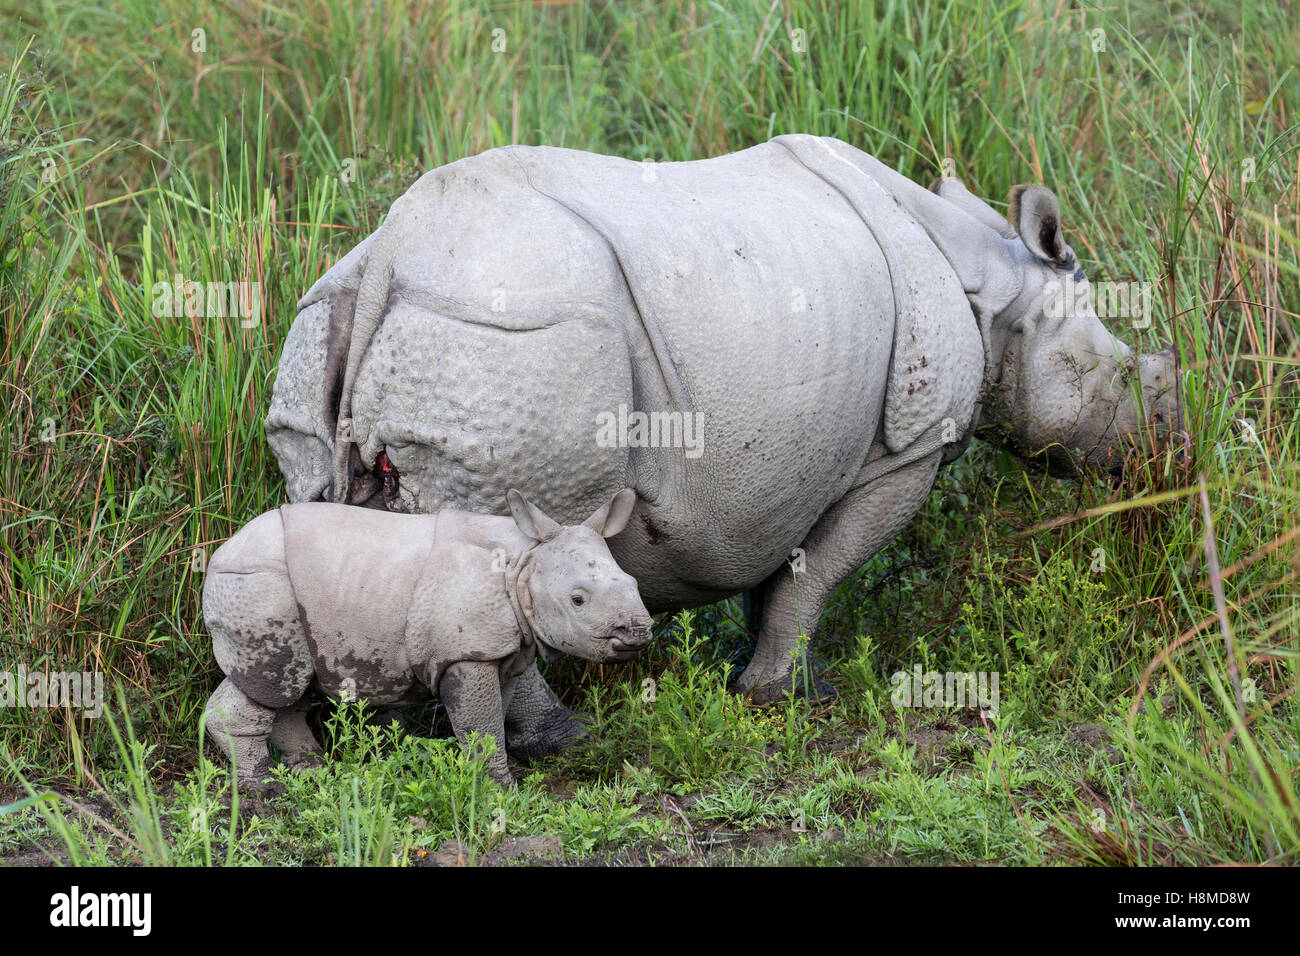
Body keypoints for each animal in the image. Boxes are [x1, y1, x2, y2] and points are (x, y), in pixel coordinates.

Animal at [202, 489, 650, 790]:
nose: (639, 631)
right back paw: (262, 788)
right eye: (577, 600)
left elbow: (493, 715)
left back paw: (311, 768)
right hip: (257, 584)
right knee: (273, 682)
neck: (524, 561)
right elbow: (481, 724)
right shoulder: (467, 653)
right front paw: (498, 790)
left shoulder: (501, 651)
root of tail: (218, 556)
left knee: (293, 686)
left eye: (634, 582)